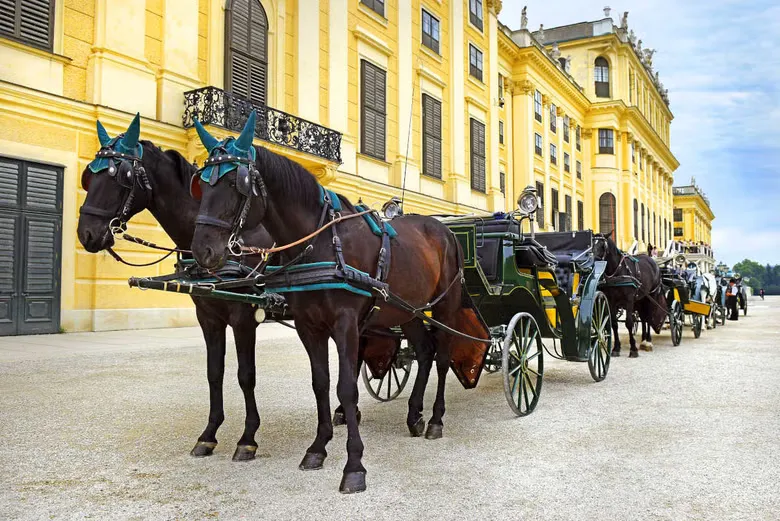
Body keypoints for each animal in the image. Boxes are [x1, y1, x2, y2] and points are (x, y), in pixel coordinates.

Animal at [188, 110, 488, 492]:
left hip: (444, 307)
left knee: (444, 355)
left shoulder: (345, 324)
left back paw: (435, 418)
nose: (202, 250)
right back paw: (414, 414)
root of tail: (444, 227)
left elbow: (346, 388)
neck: (321, 242)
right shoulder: (309, 326)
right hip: (407, 311)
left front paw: (354, 465)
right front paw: (318, 447)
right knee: (423, 352)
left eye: (234, 184)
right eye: (201, 184)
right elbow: (321, 384)